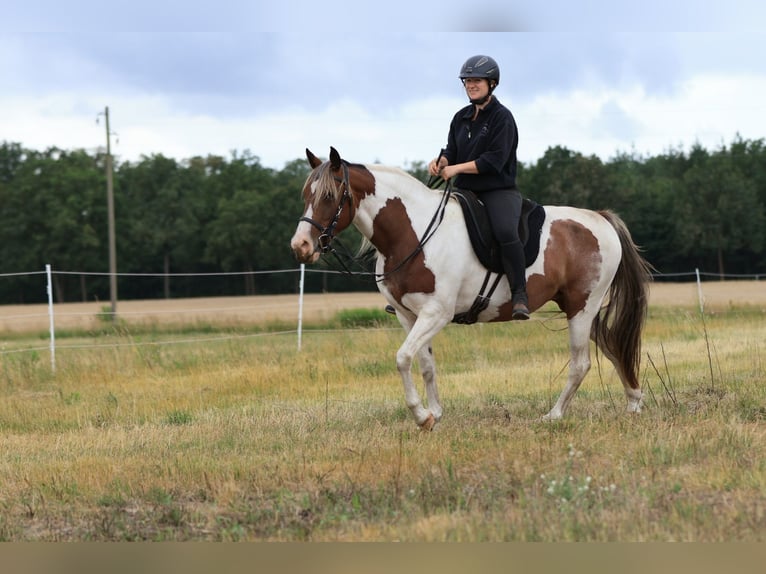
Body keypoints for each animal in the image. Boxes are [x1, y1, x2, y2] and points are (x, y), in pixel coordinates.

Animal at [290, 147, 653, 430]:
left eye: (329, 196)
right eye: (306, 195)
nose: (301, 246)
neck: (413, 232)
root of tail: (601, 218)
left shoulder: (436, 313)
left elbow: (403, 357)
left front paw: (421, 416)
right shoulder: (409, 316)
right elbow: (425, 364)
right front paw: (435, 413)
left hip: (582, 307)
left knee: (580, 364)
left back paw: (554, 415)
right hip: (579, 309)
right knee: (612, 346)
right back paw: (634, 402)